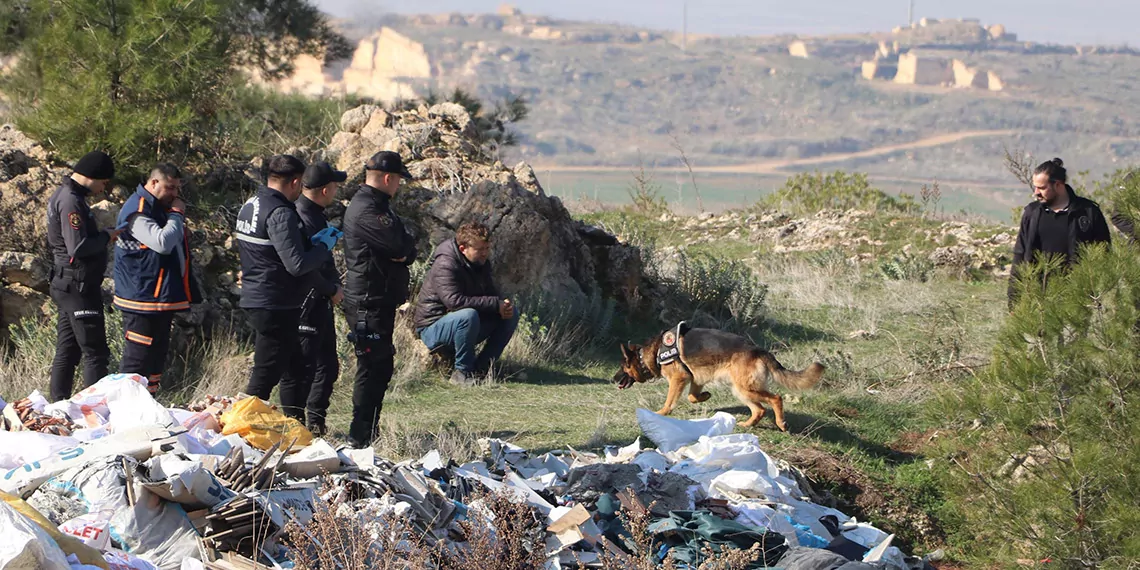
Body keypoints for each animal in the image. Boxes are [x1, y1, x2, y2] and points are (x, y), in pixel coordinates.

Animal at [620, 326, 825, 430]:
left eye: (623, 367)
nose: (615, 380)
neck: (653, 352)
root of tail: (759, 350)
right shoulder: (696, 379)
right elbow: (692, 396)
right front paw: (705, 397)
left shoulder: (678, 378)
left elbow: (670, 401)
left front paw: (661, 413)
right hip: (740, 390)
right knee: (759, 410)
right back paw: (747, 424)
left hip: (745, 388)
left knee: (776, 398)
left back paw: (781, 423)